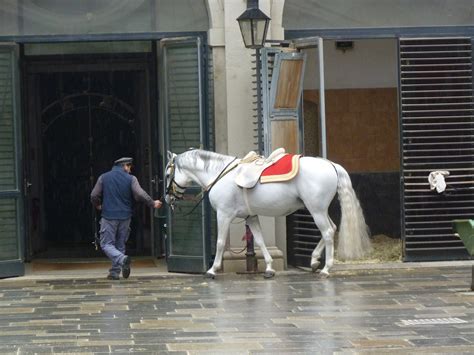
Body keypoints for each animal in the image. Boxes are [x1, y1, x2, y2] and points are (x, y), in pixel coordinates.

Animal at [165, 149, 372, 280]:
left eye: (167, 174)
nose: (167, 198)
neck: (220, 174)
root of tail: (331, 164)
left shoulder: (224, 215)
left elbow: (221, 243)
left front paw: (212, 270)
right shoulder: (251, 217)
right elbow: (260, 241)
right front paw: (270, 268)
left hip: (316, 209)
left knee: (328, 232)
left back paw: (326, 269)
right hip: (319, 209)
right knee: (332, 228)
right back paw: (314, 261)